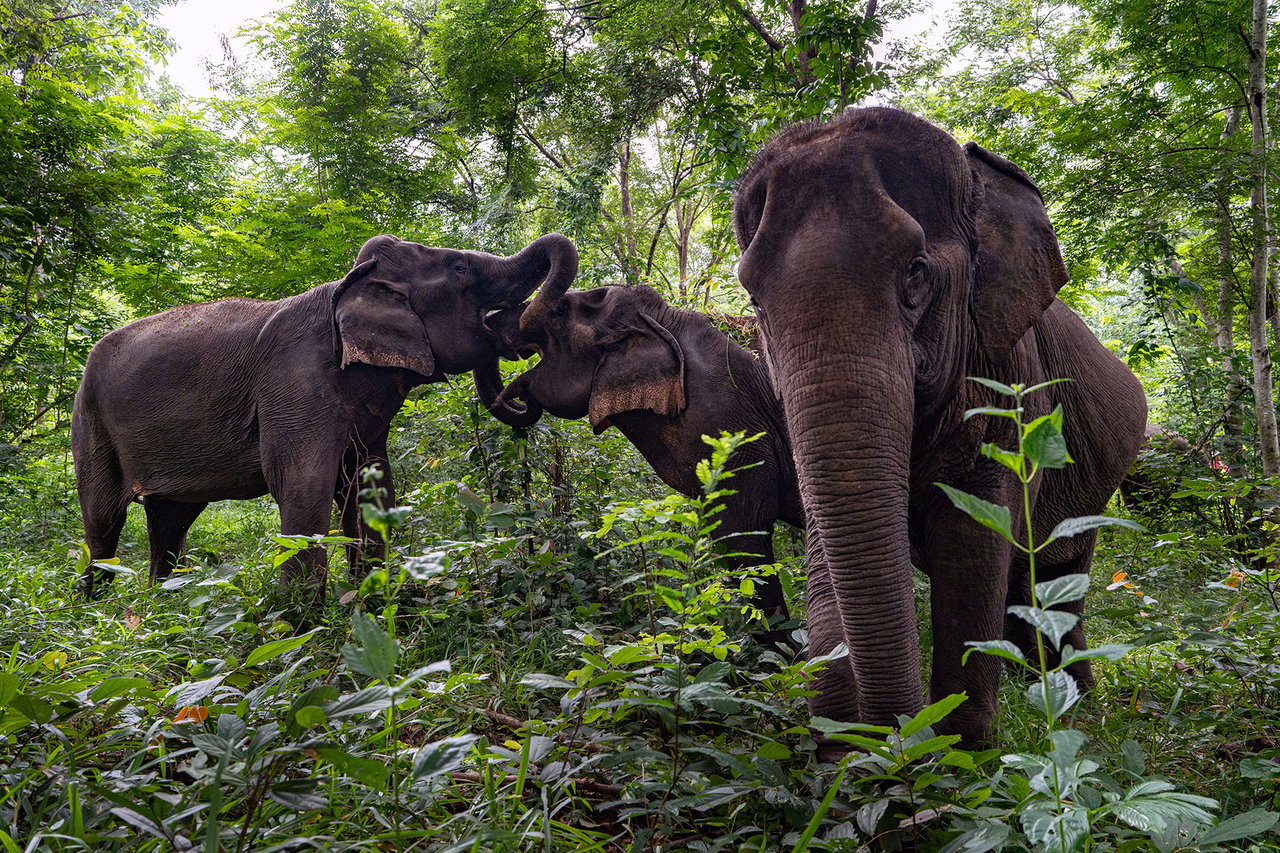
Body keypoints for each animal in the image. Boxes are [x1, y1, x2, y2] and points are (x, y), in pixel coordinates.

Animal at [72, 229, 583, 594]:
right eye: (459, 268)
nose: (523, 388)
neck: (351, 282)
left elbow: (371, 485)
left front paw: (372, 601)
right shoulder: (293, 385)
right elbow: (301, 484)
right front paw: (298, 626)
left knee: (170, 521)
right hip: (89, 419)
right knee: (103, 521)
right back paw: (95, 613)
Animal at [732, 106, 1152, 742]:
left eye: (915, 273)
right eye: (754, 301)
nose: (899, 738)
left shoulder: (1006, 385)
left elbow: (972, 538)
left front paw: (961, 757)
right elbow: (828, 536)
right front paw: (848, 754)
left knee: (1057, 581)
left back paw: (1076, 706)